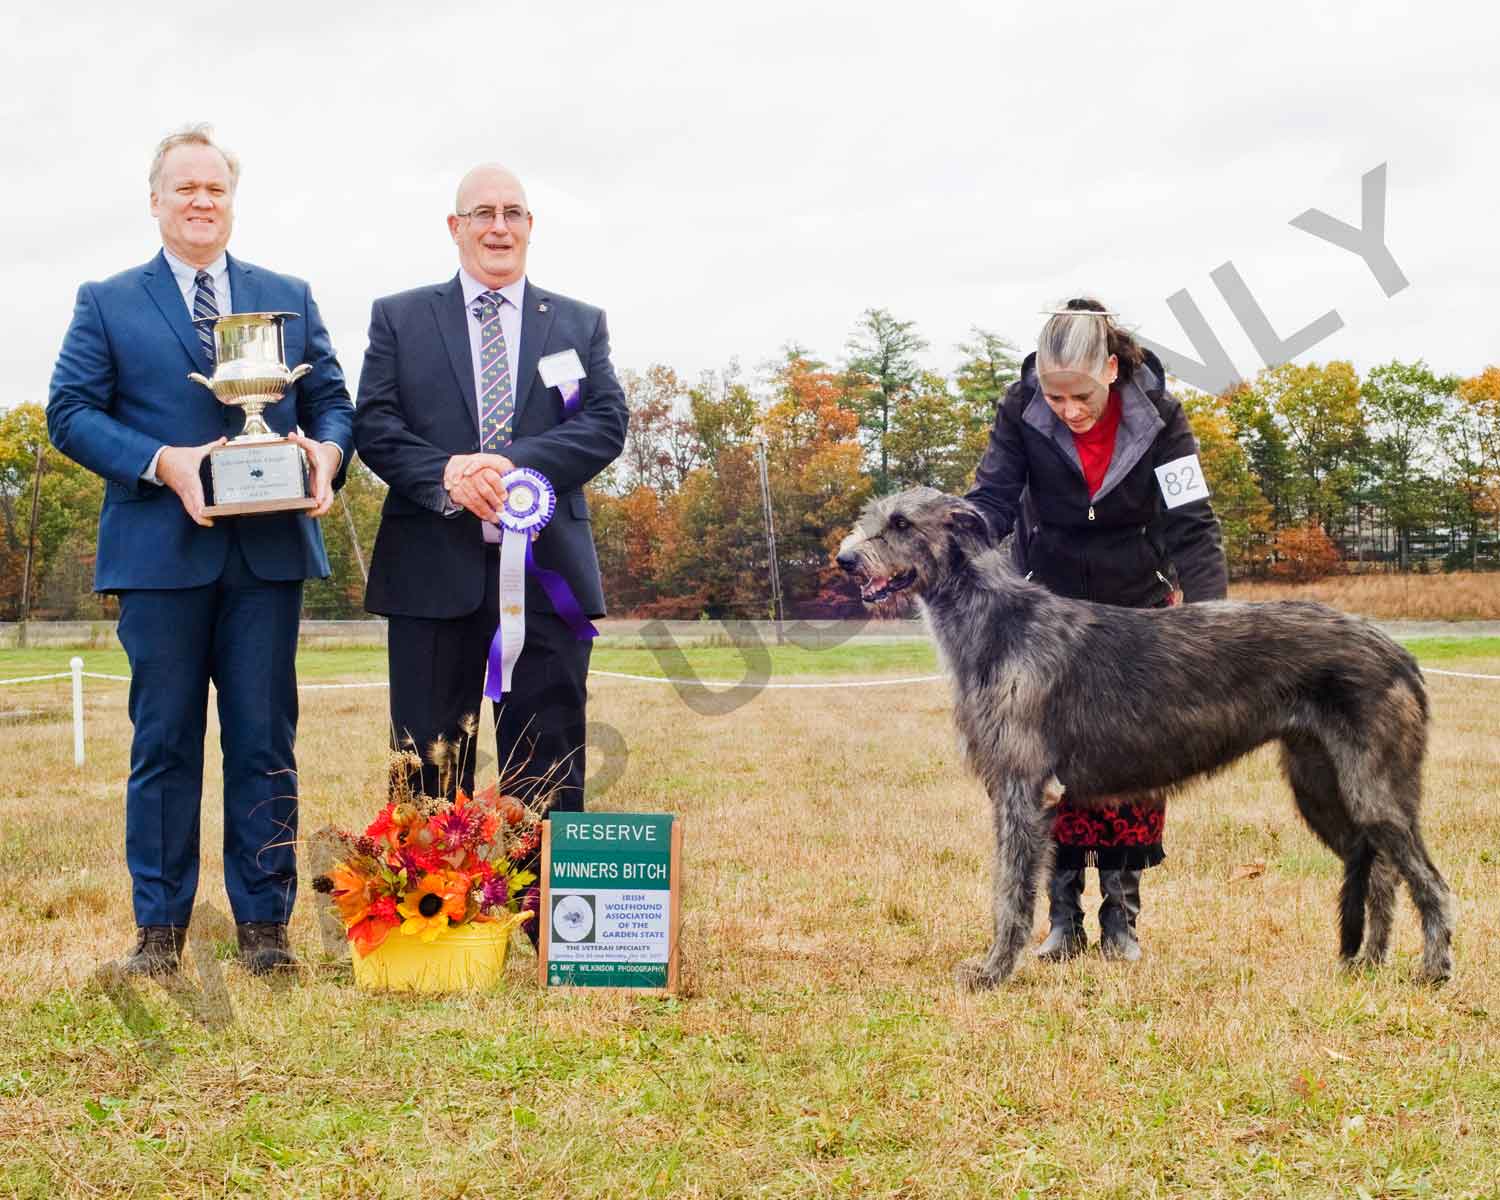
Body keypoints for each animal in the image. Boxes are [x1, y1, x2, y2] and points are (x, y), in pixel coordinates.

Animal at [834, 486, 1452, 996]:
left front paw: (993, 971)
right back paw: (1368, 963)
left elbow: (1010, 892)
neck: (997, 623)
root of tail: (1399, 653)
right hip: (1320, 785)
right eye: (870, 519)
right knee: (1380, 872)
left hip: (1373, 787)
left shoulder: (1020, 788)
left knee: (1429, 879)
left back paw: (1433, 971)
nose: (845, 560)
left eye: (901, 523)